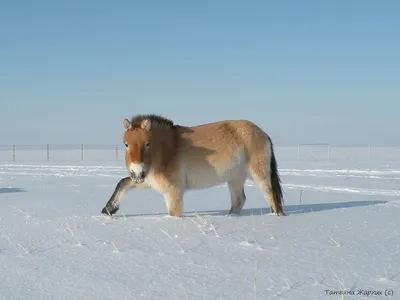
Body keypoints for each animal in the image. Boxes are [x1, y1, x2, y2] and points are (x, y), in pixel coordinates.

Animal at [101, 113, 286, 217]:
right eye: (126, 144)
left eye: (147, 143)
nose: (137, 172)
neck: (167, 149)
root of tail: (262, 133)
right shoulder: (149, 181)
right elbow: (123, 183)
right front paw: (109, 209)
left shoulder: (173, 192)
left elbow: (174, 214)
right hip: (235, 179)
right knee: (239, 200)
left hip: (259, 175)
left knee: (271, 196)